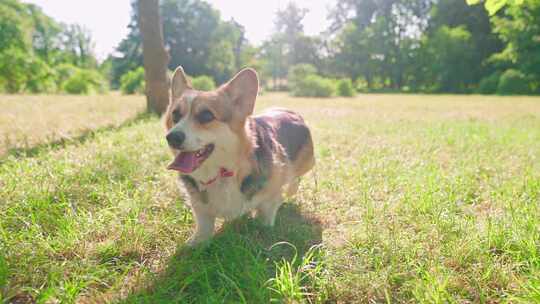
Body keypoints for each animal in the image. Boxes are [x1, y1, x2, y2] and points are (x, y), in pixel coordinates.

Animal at [165, 66, 316, 245]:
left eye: (206, 115)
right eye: (175, 115)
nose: (171, 137)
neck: (223, 172)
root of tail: (291, 112)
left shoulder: (269, 199)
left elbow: (266, 216)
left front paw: (263, 230)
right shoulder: (200, 208)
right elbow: (203, 226)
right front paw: (196, 243)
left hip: (306, 164)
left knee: (294, 180)